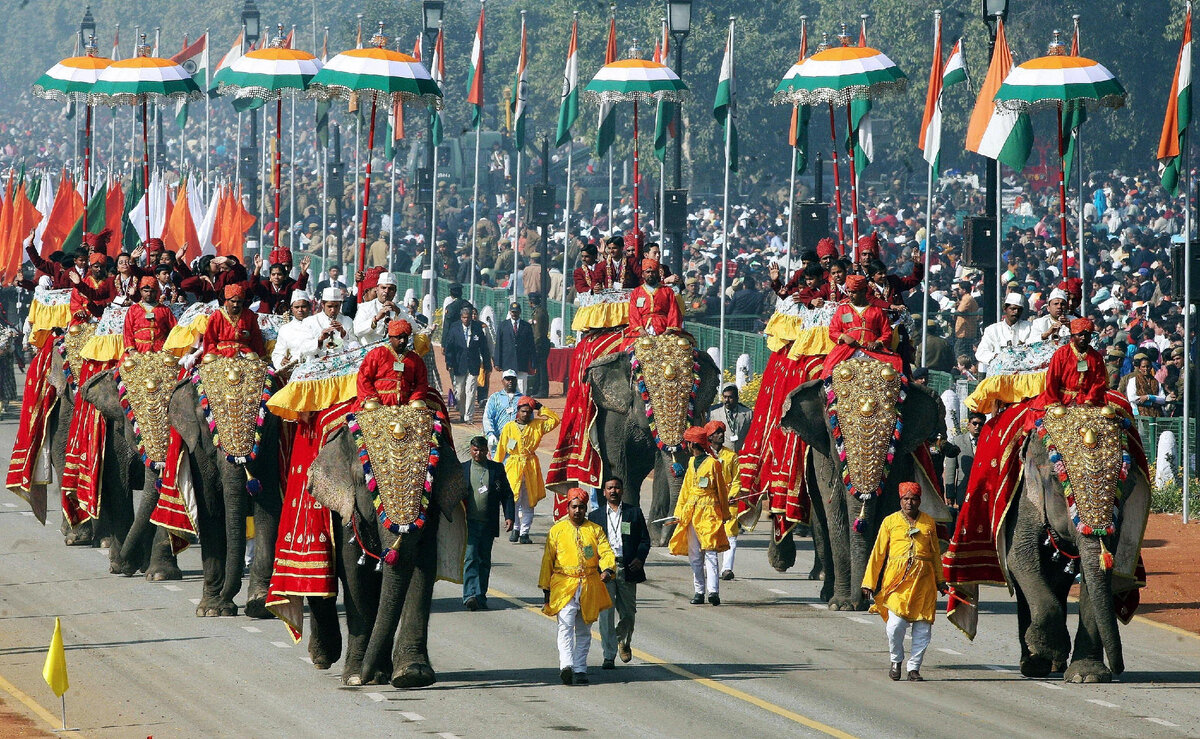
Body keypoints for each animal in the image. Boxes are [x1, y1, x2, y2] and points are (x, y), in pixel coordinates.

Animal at [81, 352, 182, 583]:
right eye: (134, 423)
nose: (126, 565)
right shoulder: (116, 439)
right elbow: (120, 487)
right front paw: (121, 566)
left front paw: (159, 575)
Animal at [168, 355, 282, 619]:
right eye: (207, 422)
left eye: (264, 421)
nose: (226, 598)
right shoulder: (197, 447)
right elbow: (210, 508)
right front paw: (211, 609)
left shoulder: (272, 444)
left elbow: (268, 507)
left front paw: (259, 606)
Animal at [309, 403, 468, 686]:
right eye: (366, 483)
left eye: (429, 482)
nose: (363, 678)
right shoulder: (345, 507)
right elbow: (354, 570)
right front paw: (355, 677)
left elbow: (421, 565)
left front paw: (411, 676)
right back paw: (327, 659)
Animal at [585, 331, 715, 544]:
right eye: (645, 390)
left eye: (691, 394)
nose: (665, 539)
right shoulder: (612, 416)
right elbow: (617, 464)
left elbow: (662, 468)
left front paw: (656, 537)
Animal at [782, 364, 950, 611]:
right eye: (834, 433)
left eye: (895, 433)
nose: (858, 600)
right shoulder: (824, 456)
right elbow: (835, 513)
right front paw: (841, 605)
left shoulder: (900, 460)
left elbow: (886, 511)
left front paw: (882, 599)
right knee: (822, 522)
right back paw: (827, 594)